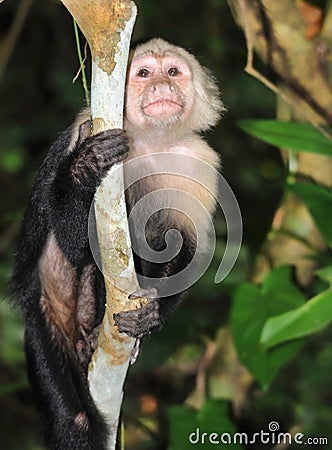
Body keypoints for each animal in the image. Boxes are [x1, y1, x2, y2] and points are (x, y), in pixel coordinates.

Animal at [11, 39, 223, 450]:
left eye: (172, 72)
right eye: (143, 73)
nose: (160, 86)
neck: (152, 142)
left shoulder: (201, 163)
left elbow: (185, 244)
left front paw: (152, 314)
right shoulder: (85, 126)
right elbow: (74, 244)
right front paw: (86, 165)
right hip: (44, 317)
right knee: (76, 421)